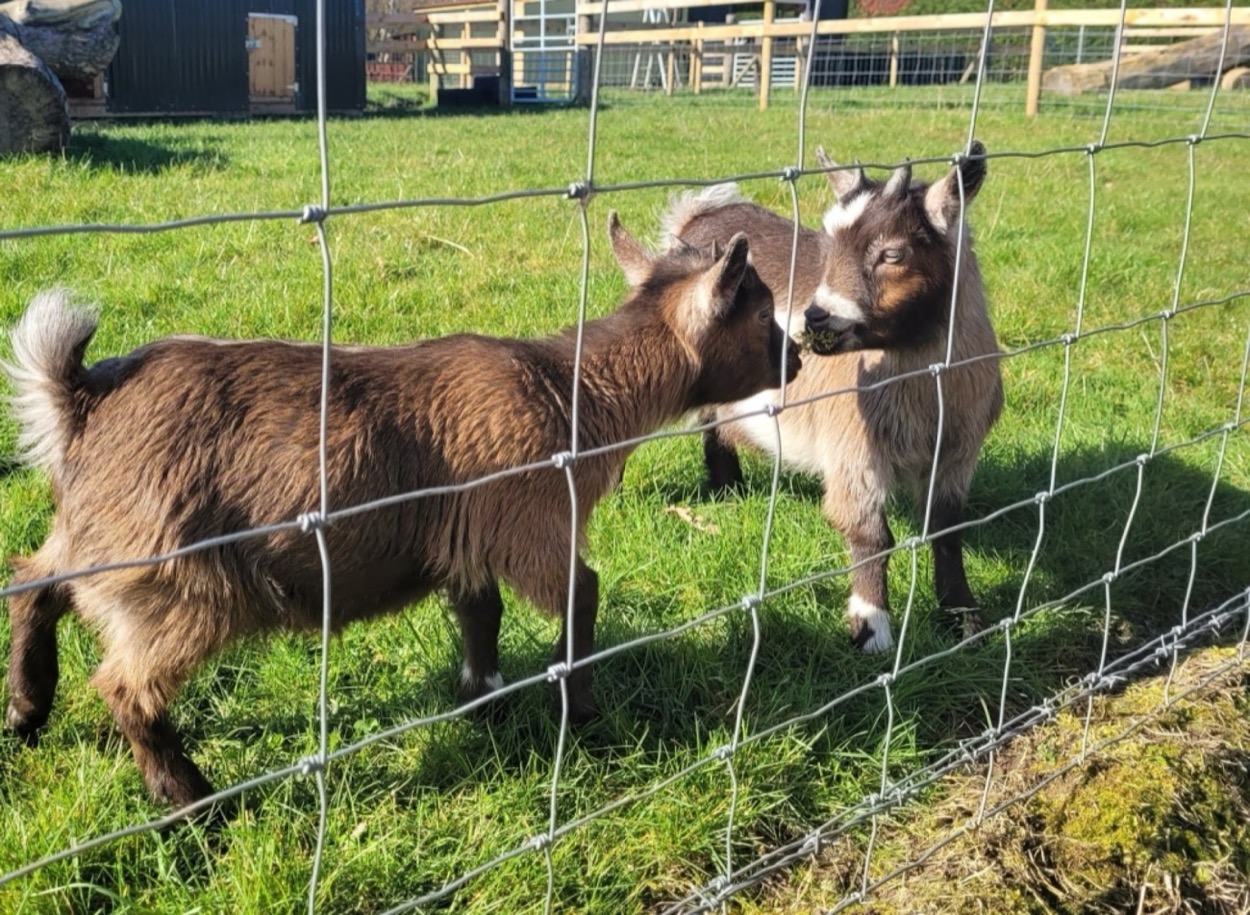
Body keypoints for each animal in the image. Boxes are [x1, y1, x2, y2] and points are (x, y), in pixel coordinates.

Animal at [2, 214, 800, 808]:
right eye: (763, 311)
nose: (798, 359)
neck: (572, 390)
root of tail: (82, 399)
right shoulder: (532, 524)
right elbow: (584, 593)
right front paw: (581, 709)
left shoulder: (469, 537)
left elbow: (480, 614)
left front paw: (484, 698)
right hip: (180, 581)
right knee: (125, 687)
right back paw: (191, 798)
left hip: (102, 539)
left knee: (33, 581)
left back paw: (27, 709)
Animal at [663, 143, 1002, 653]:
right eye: (827, 246)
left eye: (892, 253)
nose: (816, 318)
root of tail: (699, 216)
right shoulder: (852, 448)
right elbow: (870, 536)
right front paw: (872, 630)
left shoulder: (958, 450)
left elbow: (947, 530)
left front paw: (965, 619)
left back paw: (729, 488)